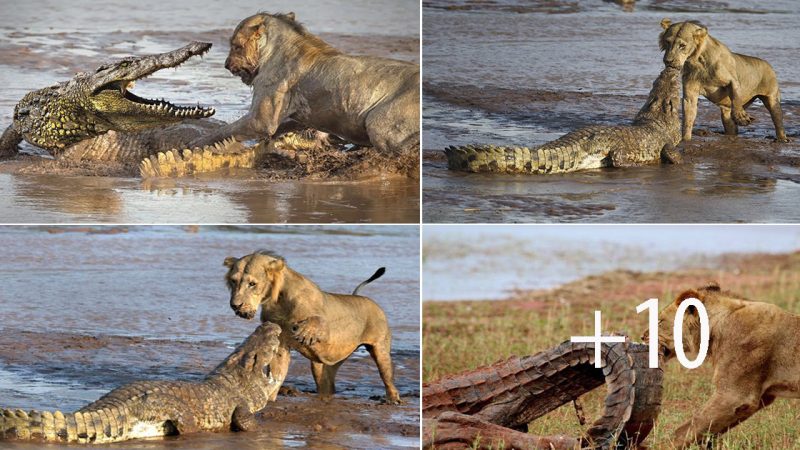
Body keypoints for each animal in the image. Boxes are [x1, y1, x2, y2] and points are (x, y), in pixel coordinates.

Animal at [194, 11, 418, 158]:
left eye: (236, 46)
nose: (226, 64)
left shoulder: (261, 120)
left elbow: (224, 131)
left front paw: (196, 143)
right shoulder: (300, 117)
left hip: (379, 125)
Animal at [223, 250, 400, 404]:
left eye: (252, 283)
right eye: (233, 281)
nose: (235, 305)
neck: (278, 300)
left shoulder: (330, 330)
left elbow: (318, 321)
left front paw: (304, 332)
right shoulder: (280, 343)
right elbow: (277, 372)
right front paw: (270, 400)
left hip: (380, 350)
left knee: (387, 376)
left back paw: (393, 399)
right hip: (323, 365)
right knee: (327, 384)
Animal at [644, 282, 800, 446]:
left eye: (660, 321)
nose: (642, 336)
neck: (716, 328)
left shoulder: (734, 395)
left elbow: (690, 426)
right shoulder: (760, 397)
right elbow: (707, 429)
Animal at [656, 18, 788, 142]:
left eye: (682, 46)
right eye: (667, 42)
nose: (668, 61)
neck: (697, 61)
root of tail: (768, 65)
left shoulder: (732, 80)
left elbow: (736, 98)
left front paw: (741, 117)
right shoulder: (690, 93)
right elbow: (688, 117)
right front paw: (685, 139)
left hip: (772, 98)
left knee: (778, 120)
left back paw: (782, 139)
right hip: (726, 113)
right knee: (730, 125)